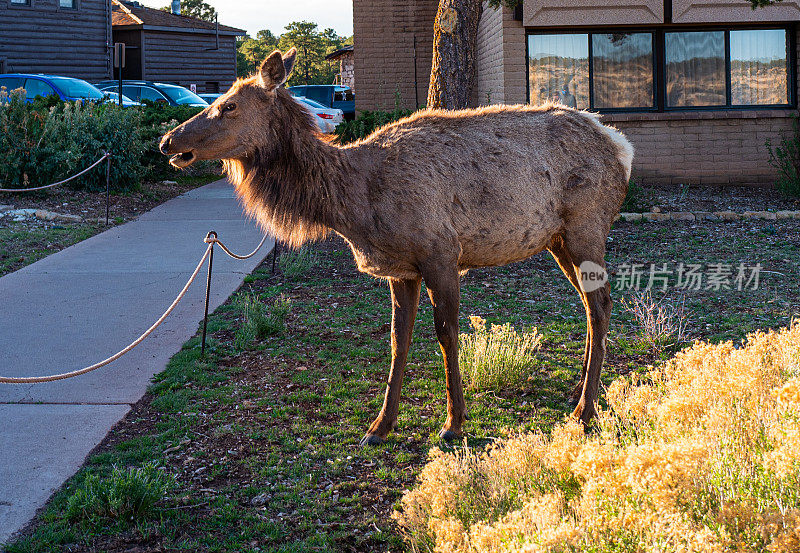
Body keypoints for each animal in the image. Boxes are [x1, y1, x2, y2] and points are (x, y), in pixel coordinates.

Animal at [159, 47, 636, 444]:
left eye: (229, 105)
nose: (168, 141)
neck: (356, 206)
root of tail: (621, 146)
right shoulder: (400, 268)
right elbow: (396, 339)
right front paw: (379, 426)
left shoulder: (441, 254)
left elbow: (446, 334)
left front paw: (453, 424)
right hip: (557, 239)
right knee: (591, 303)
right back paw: (580, 391)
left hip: (586, 226)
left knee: (601, 303)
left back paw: (585, 408)